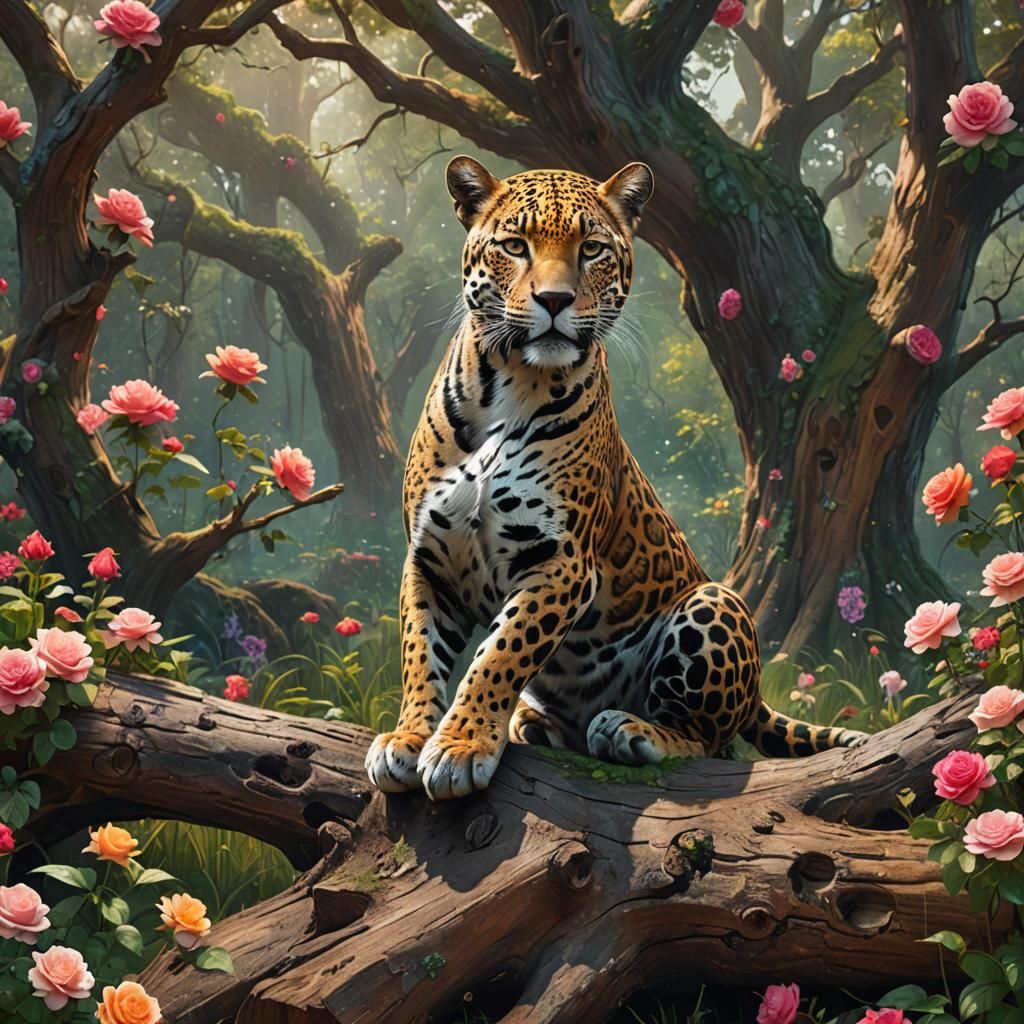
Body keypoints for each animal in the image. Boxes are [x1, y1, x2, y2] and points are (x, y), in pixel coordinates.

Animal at [365, 156, 866, 800]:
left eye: (592, 249)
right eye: (515, 245)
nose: (555, 299)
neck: (510, 382)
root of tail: (756, 694)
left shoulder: (561, 561)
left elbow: (499, 654)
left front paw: (460, 745)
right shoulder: (430, 558)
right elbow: (420, 656)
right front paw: (409, 736)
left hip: (714, 601)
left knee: (712, 743)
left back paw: (632, 730)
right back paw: (535, 724)